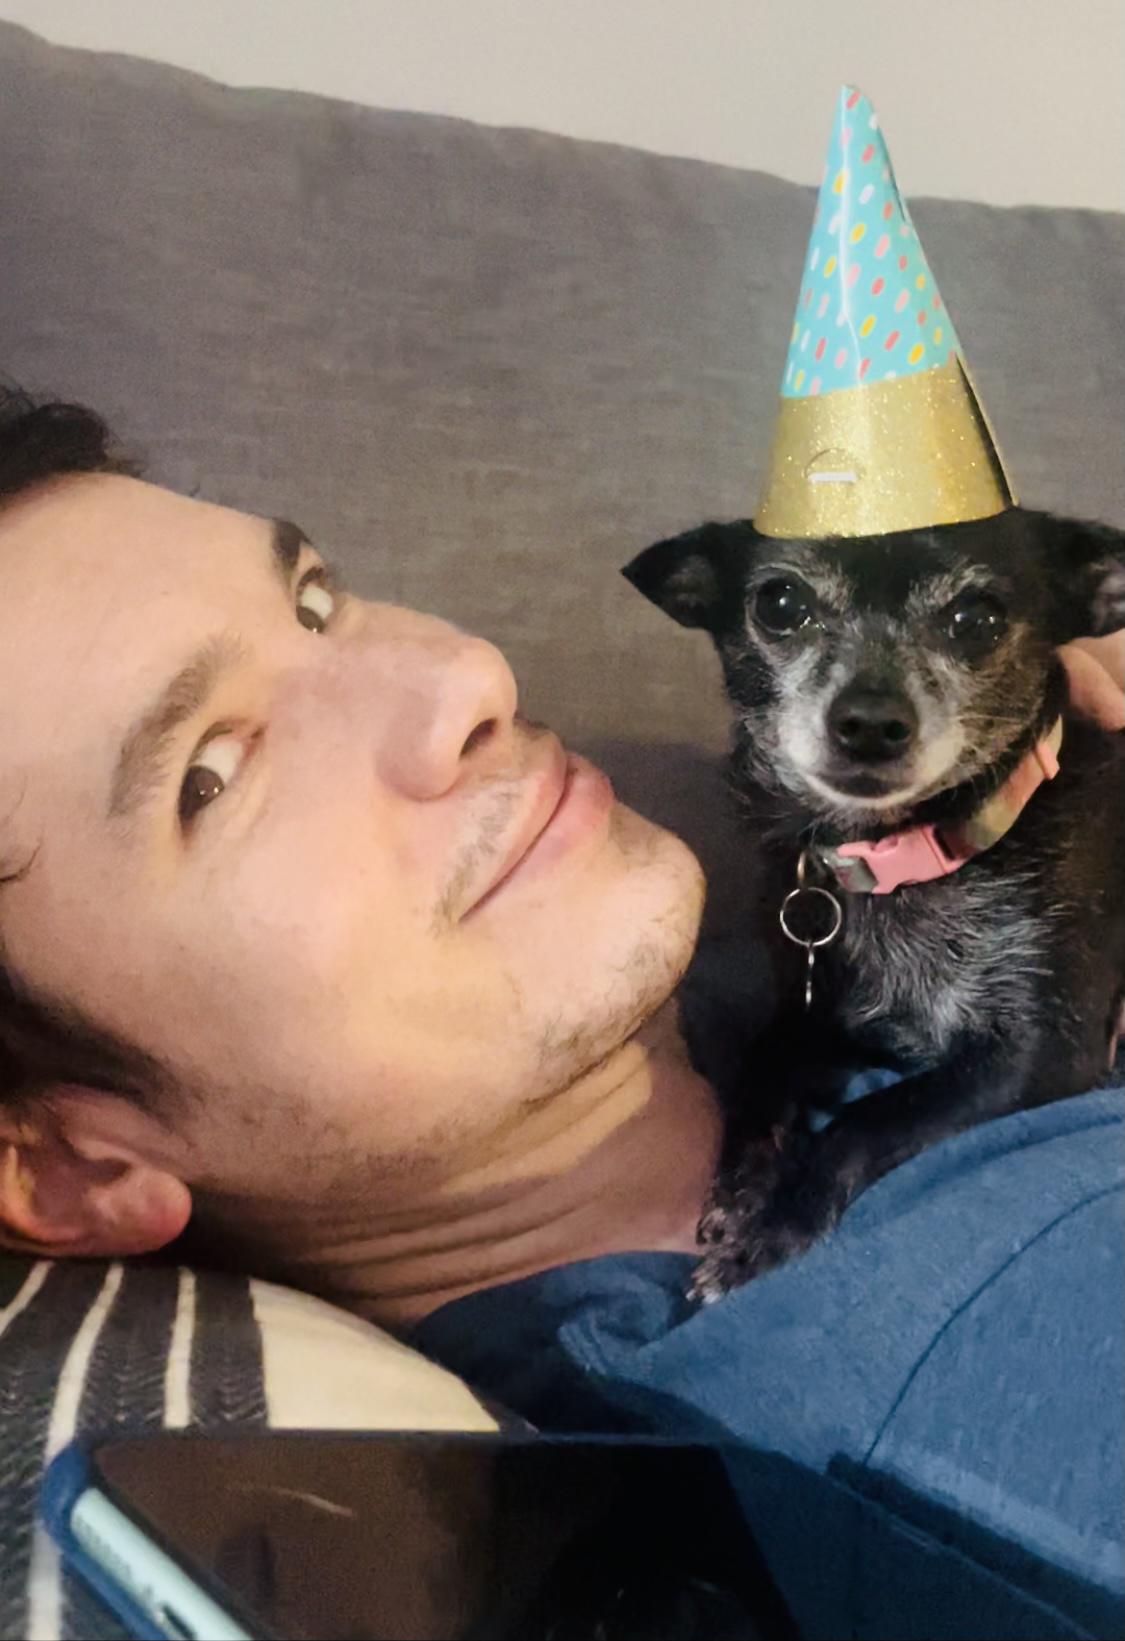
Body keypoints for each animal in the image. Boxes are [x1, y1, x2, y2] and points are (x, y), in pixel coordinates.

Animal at [624, 507, 1125, 1298]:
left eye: (976, 619)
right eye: (780, 605)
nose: (867, 722)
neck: (900, 861)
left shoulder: (1047, 1052)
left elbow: (871, 1116)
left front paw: (775, 1220)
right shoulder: (813, 1012)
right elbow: (761, 1066)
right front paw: (743, 1183)